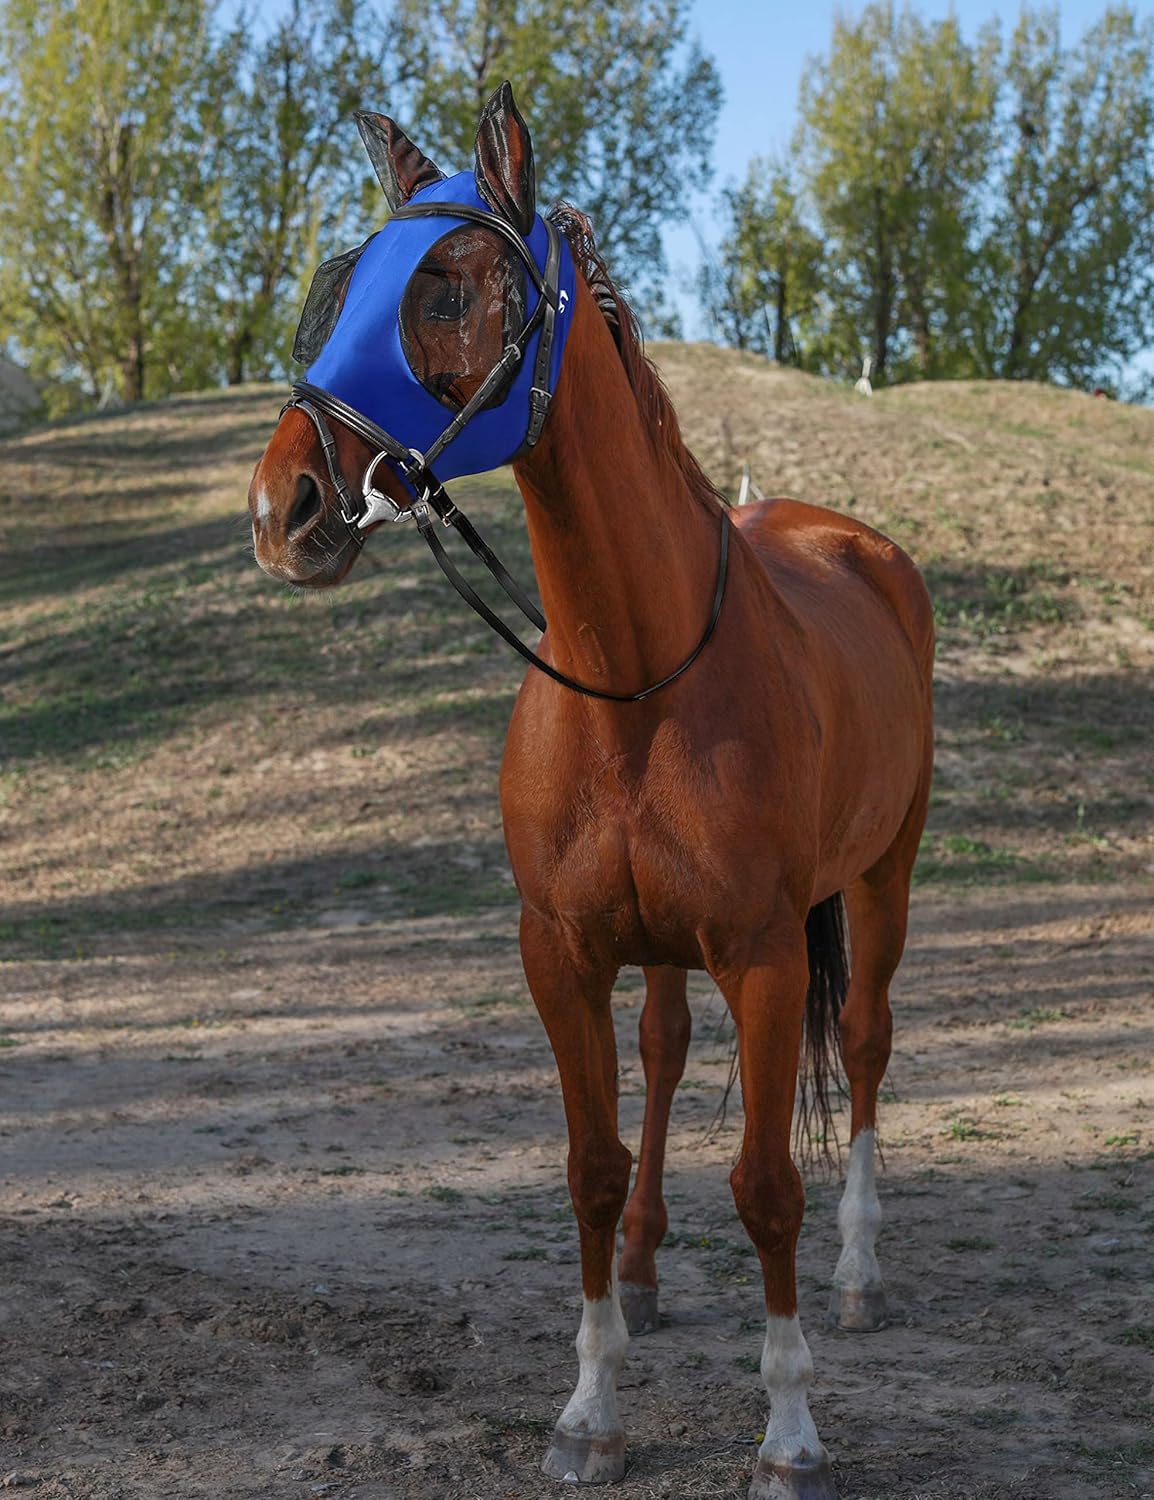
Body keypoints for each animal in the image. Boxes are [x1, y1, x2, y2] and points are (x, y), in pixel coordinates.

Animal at [247, 82, 934, 1500]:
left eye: (447, 284)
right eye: (342, 284)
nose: (285, 504)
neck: (637, 674)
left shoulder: (765, 954)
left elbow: (767, 1185)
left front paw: (789, 1432)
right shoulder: (559, 952)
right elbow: (587, 1168)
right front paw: (588, 1408)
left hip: (881, 878)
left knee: (863, 1044)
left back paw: (854, 1275)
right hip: (663, 946)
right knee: (665, 1053)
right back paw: (648, 1269)